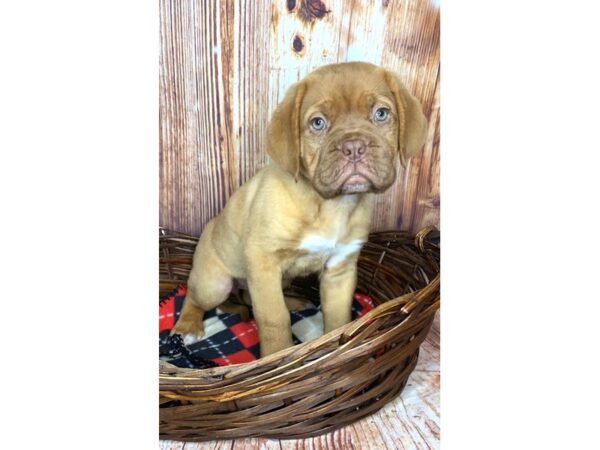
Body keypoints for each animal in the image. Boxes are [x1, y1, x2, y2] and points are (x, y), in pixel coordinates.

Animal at [171, 61, 428, 356]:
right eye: (318, 123)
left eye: (381, 114)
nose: (354, 147)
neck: (330, 204)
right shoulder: (263, 261)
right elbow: (274, 318)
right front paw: (276, 355)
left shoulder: (340, 268)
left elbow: (338, 318)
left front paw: (334, 348)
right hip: (214, 284)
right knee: (193, 297)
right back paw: (187, 327)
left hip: (274, 280)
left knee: (253, 297)